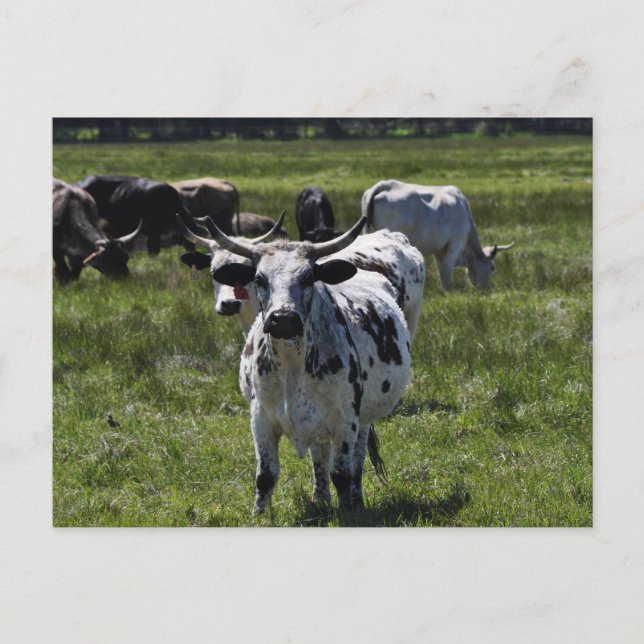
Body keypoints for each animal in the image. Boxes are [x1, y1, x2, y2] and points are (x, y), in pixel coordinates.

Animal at [195, 216, 412, 514]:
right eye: (259, 279)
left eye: (308, 277)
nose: (283, 319)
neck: (291, 364)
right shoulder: (260, 416)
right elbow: (265, 476)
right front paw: (259, 516)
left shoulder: (346, 417)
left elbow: (341, 473)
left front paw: (348, 512)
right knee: (319, 454)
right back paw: (320, 499)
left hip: (363, 417)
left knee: (355, 459)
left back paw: (356, 500)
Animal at [362, 180, 515, 289]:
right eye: (492, 267)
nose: (487, 290)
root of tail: (384, 185)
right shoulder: (455, 244)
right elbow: (446, 270)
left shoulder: (439, 250)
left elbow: (441, 270)